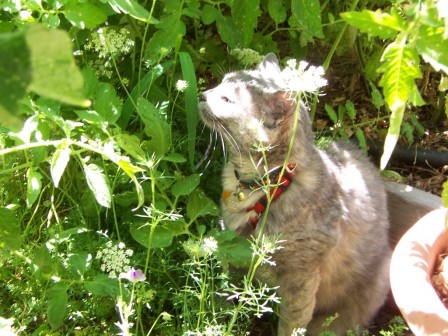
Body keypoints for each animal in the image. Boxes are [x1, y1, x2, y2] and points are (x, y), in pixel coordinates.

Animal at [198, 53, 390, 334]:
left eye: (226, 99)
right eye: (221, 82)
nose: (203, 94)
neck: (265, 189)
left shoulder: (301, 278)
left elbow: (291, 325)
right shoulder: (234, 246)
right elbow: (225, 290)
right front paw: (218, 319)